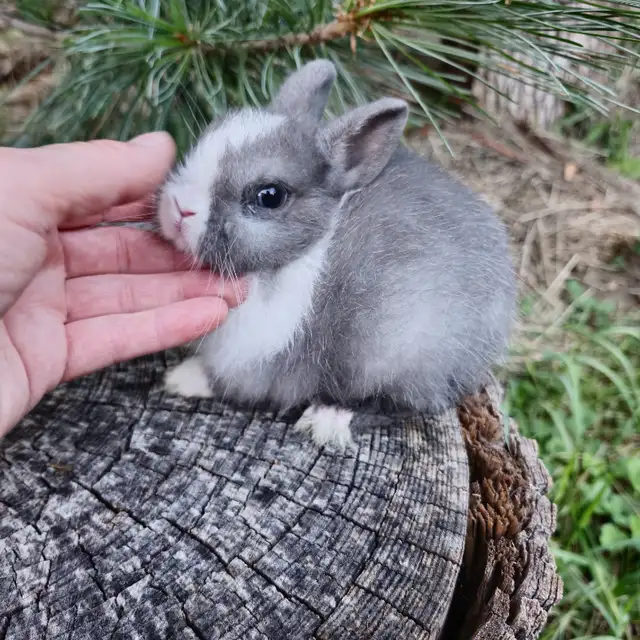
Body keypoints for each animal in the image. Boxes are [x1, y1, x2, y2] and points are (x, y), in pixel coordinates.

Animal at [157, 59, 517, 449]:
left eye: (269, 196)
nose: (179, 208)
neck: (296, 258)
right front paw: (178, 377)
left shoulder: (253, 359)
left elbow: (227, 383)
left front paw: (183, 379)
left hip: (405, 354)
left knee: (410, 404)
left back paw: (327, 421)